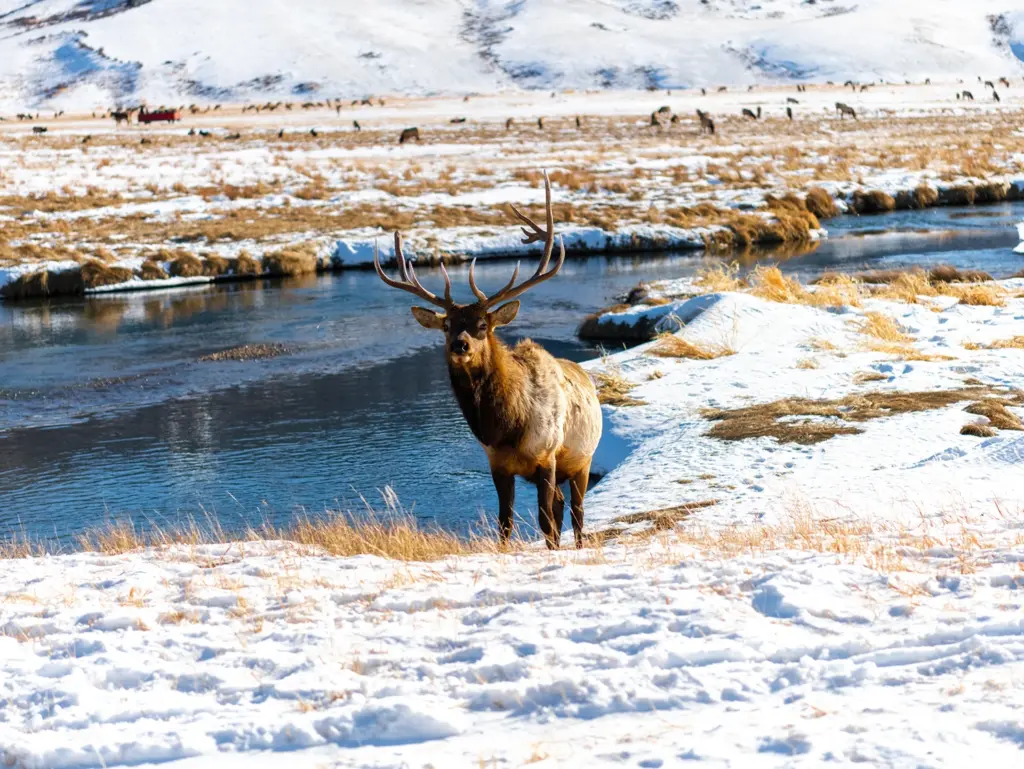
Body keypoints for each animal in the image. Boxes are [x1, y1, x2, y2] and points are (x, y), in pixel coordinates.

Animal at [373, 172, 602, 550]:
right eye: (447, 325)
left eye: (483, 325)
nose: (460, 345)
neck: (505, 426)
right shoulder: (497, 465)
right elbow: (504, 523)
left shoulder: (547, 456)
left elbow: (546, 523)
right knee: (561, 510)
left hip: (582, 460)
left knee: (577, 516)